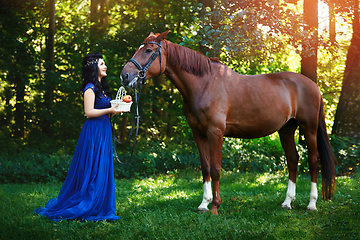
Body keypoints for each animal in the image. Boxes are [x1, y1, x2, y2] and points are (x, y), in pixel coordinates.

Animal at [121, 30, 338, 216]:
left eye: (148, 51)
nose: (125, 75)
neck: (204, 84)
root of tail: (313, 85)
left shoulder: (215, 133)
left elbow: (216, 169)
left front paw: (215, 207)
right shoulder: (198, 133)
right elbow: (205, 167)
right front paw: (203, 204)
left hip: (309, 128)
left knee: (313, 160)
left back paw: (311, 204)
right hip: (286, 130)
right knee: (293, 159)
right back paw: (287, 202)